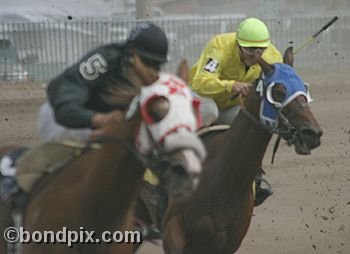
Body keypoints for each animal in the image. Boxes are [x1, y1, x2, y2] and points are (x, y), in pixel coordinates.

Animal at [161, 48, 322, 254]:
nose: (313, 133)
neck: (225, 179)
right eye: (278, 91)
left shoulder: (227, 243)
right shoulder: (172, 230)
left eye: (304, 88)